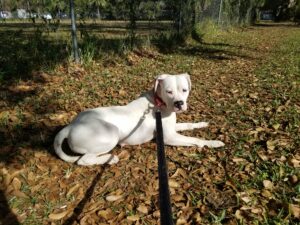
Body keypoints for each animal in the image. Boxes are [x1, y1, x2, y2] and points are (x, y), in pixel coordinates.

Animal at [54, 74, 224, 165]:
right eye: (168, 91)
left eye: (185, 90)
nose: (179, 103)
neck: (158, 103)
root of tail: (71, 126)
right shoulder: (169, 137)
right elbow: (195, 140)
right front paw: (213, 143)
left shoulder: (172, 128)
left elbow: (189, 125)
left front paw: (202, 124)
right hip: (111, 133)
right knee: (83, 160)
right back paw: (110, 158)